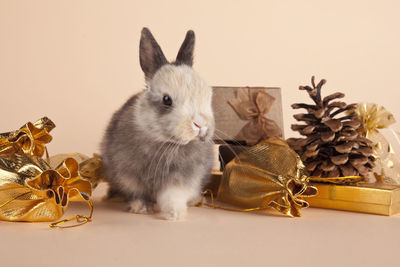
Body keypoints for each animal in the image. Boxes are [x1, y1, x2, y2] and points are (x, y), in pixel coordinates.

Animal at [101, 28, 216, 222]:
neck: (164, 143)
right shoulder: (128, 176)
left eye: (208, 94)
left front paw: (174, 214)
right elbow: (137, 193)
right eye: (166, 100)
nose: (200, 125)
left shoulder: (182, 179)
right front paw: (140, 207)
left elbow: (173, 195)